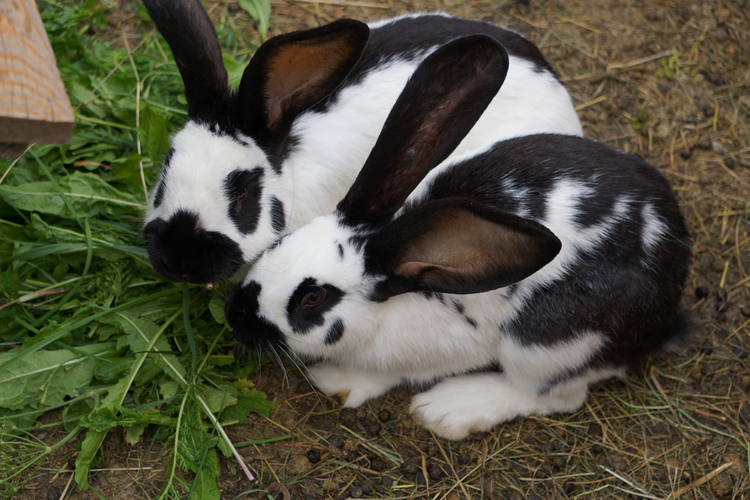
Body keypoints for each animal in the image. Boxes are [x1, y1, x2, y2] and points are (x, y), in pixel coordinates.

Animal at [223, 34, 692, 438]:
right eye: (279, 244)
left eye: (313, 298)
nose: (235, 316)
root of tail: (669, 304)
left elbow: (387, 373)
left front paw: (335, 379)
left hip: (545, 344)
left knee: (554, 394)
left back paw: (449, 409)